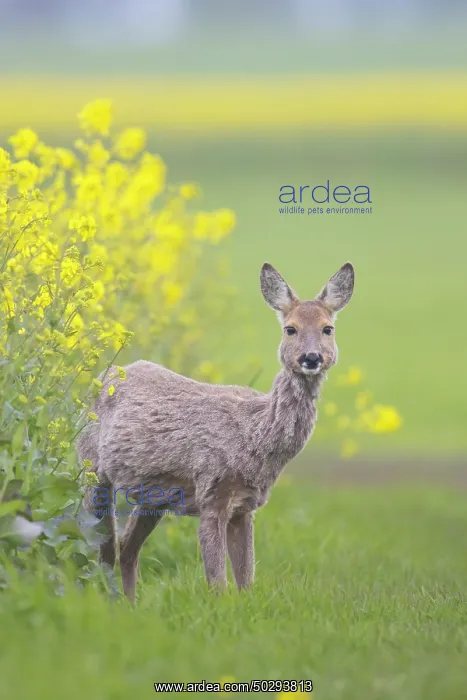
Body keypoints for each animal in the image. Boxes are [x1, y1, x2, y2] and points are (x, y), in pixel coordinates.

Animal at [77, 262, 355, 601]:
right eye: (290, 329)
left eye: (328, 328)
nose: (311, 358)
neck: (253, 435)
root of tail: (105, 376)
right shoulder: (211, 492)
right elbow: (217, 583)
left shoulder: (245, 505)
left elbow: (246, 580)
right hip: (94, 473)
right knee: (102, 548)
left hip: (153, 496)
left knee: (126, 548)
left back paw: (130, 603)